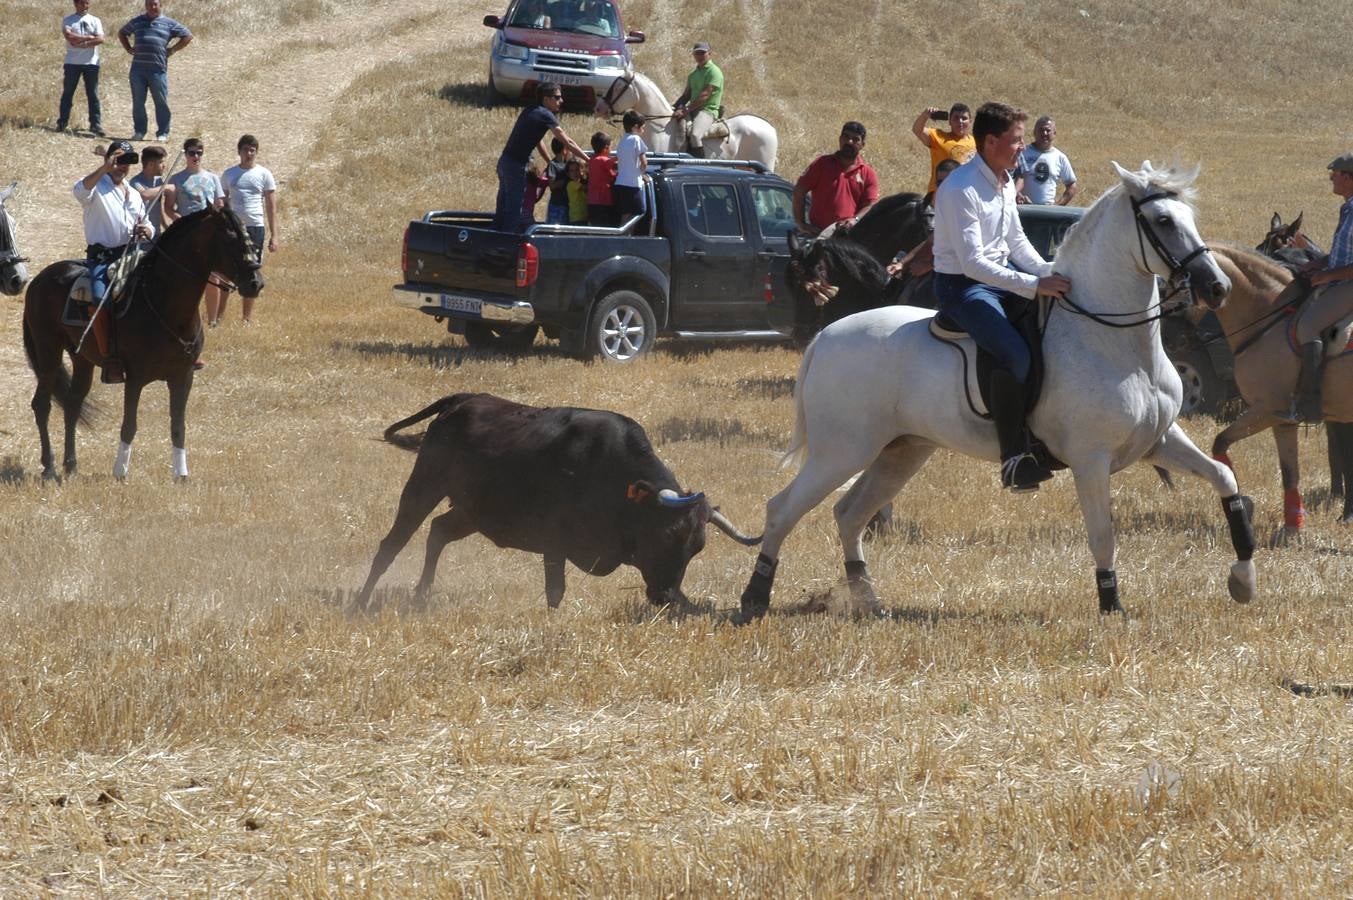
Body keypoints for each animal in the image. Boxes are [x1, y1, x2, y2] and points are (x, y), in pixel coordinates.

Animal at [21, 205, 262, 481]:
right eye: (230, 238)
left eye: (248, 234)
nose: (255, 283)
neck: (163, 304)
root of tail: (39, 280)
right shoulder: (135, 377)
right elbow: (129, 424)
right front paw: (120, 472)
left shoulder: (183, 376)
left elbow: (178, 425)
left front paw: (181, 475)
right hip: (47, 350)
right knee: (42, 404)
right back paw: (49, 468)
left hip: (81, 358)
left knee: (72, 403)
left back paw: (71, 465)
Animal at [357, 395, 763, 611]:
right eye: (664, 536)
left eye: (696, 548)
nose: (668, 596)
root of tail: (463, 400)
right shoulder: (554, 544)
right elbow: (556, 591)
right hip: (424, 486)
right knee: (391, 544)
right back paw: (361, 600)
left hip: (473, 511)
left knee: (439, 530)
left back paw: (422, 594)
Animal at [741, 163, 1255, 617]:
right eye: (1163, 220)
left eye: (1189, 217)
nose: (1217, 287)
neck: (1113, 340)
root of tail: (827, 337)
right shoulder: (1090, 460)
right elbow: (1103, 535)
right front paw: (1113, 607)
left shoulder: (1160, 441)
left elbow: (1225, 479)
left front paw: (1244, 578)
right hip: (841, 451)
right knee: (782, 510)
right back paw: (754, 599)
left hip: (900, 452)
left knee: (850, 514)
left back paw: (868, 601)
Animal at [1206, 243, 1353, 533]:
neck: (1267, 319)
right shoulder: (1283, 421)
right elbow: (1289, 473)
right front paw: (1291, 527)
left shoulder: (1268, 410)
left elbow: (1221, 442)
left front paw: (1240, 504)